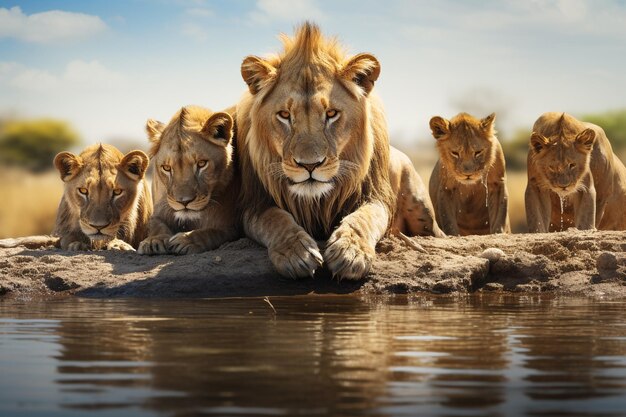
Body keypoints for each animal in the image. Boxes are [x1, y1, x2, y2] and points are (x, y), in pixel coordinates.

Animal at [138, 105, 238, 254]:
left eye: (202, 164)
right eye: (166, 168)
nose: (184, 202)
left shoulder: (233, 225)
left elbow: (214, 232)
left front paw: (187, 239)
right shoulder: (158, 210)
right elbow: (156, 225)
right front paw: (154, 241)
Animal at [236, 21, 392, 278]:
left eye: (331, 113)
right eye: (285, 115)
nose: (310, 165)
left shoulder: (377, 196)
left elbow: (365, 218)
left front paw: (351, 252)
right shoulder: (252, 204)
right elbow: (276, 219)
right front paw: (297, 253)